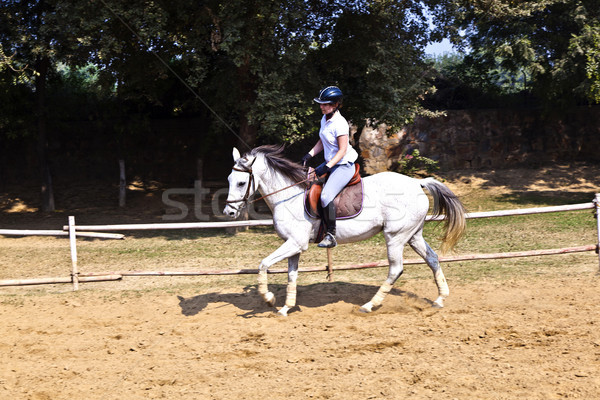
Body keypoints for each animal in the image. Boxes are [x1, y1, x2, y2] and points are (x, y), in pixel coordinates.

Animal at [223, 144, 466, 316]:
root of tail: (416, 183)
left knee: (396, 269)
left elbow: (263, 264)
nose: (229, 212)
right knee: (432, 258)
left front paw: (268, 298)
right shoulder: (294, 246)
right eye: (229, 179)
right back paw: (440, 299)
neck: (288, 196)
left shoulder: (295, 243)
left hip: (395, 237)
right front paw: (285, 308)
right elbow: (291, 276)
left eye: (241, 183)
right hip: (413, 235)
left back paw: (369, 305)